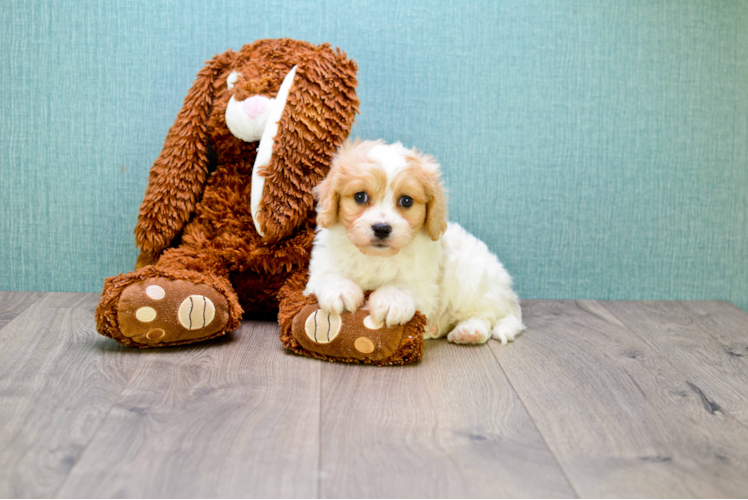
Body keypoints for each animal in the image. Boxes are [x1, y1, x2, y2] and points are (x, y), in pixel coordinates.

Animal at [300, 140, 524, 344]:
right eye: (360, 196)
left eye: (406, 201)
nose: (381, 228)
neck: (377, 257)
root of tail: (507, 292)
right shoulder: (320, 267)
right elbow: (328, 275)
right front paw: (340, 291)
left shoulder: (426, 286)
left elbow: (404, 285)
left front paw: (391, 300)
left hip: (471, 281)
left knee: (485, 316)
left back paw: (469, 331)